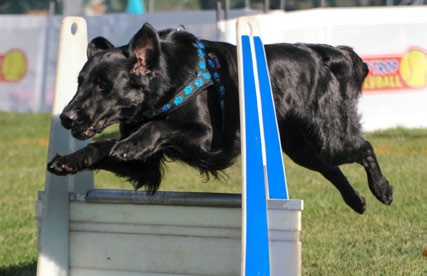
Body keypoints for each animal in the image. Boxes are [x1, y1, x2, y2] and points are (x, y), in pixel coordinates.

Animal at [47, 23, 394, 213]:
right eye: (79, 82)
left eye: (103, 85)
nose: (66, 117)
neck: (166, 83)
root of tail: (315, 53)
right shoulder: (146, 167)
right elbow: (103, 148)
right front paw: (68, 160)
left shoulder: (206, 139)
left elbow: (158, 126)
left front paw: (132, 144)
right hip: (301, 148)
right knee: (331, 168)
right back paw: (356, 201)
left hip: (327, 136)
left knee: (364, 148)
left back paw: (382, 190)